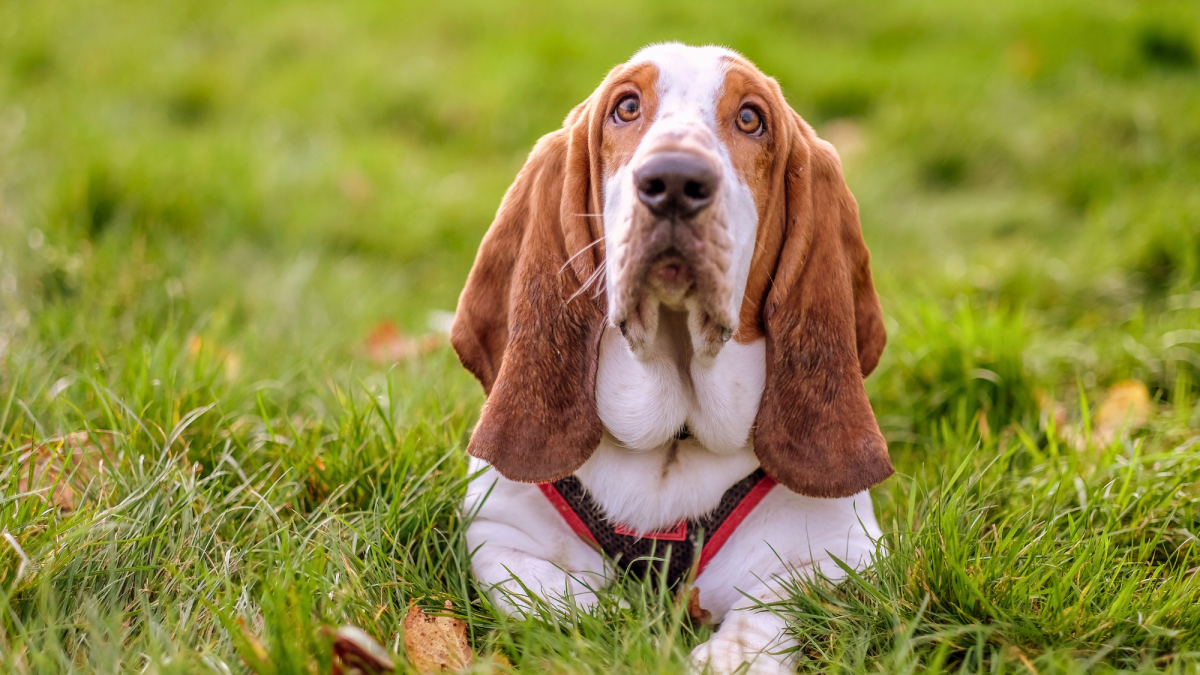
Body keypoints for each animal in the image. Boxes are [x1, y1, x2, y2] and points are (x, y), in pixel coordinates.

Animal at [451, 43, 892, 672]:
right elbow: (553, 602)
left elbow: (776, 607)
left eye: (751, 118)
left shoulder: (843, 551)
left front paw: (726, 658)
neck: (673, 441)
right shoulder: (501, 531)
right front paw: (608, 627)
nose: (677, 180)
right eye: (626, 107)